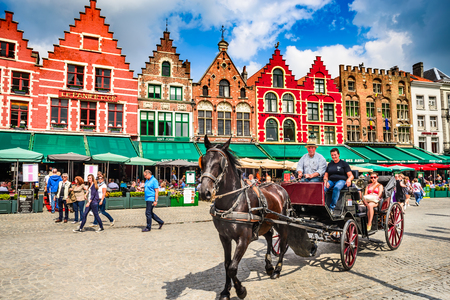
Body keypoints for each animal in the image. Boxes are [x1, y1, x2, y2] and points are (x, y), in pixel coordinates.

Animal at [199, 137, 290, 300]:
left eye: (220, 163)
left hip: (282, 223)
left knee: (283, 243)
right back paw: (269, 266)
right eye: (203, 161)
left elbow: (232, 267)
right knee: (269, 237)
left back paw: (277, 270)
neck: (233, 201)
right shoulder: (224, 237)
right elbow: (227, 264)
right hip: (266, 223)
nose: (204, 192)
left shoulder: (244, 238)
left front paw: (240, 290)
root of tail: (279, 186)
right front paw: (226, 291)